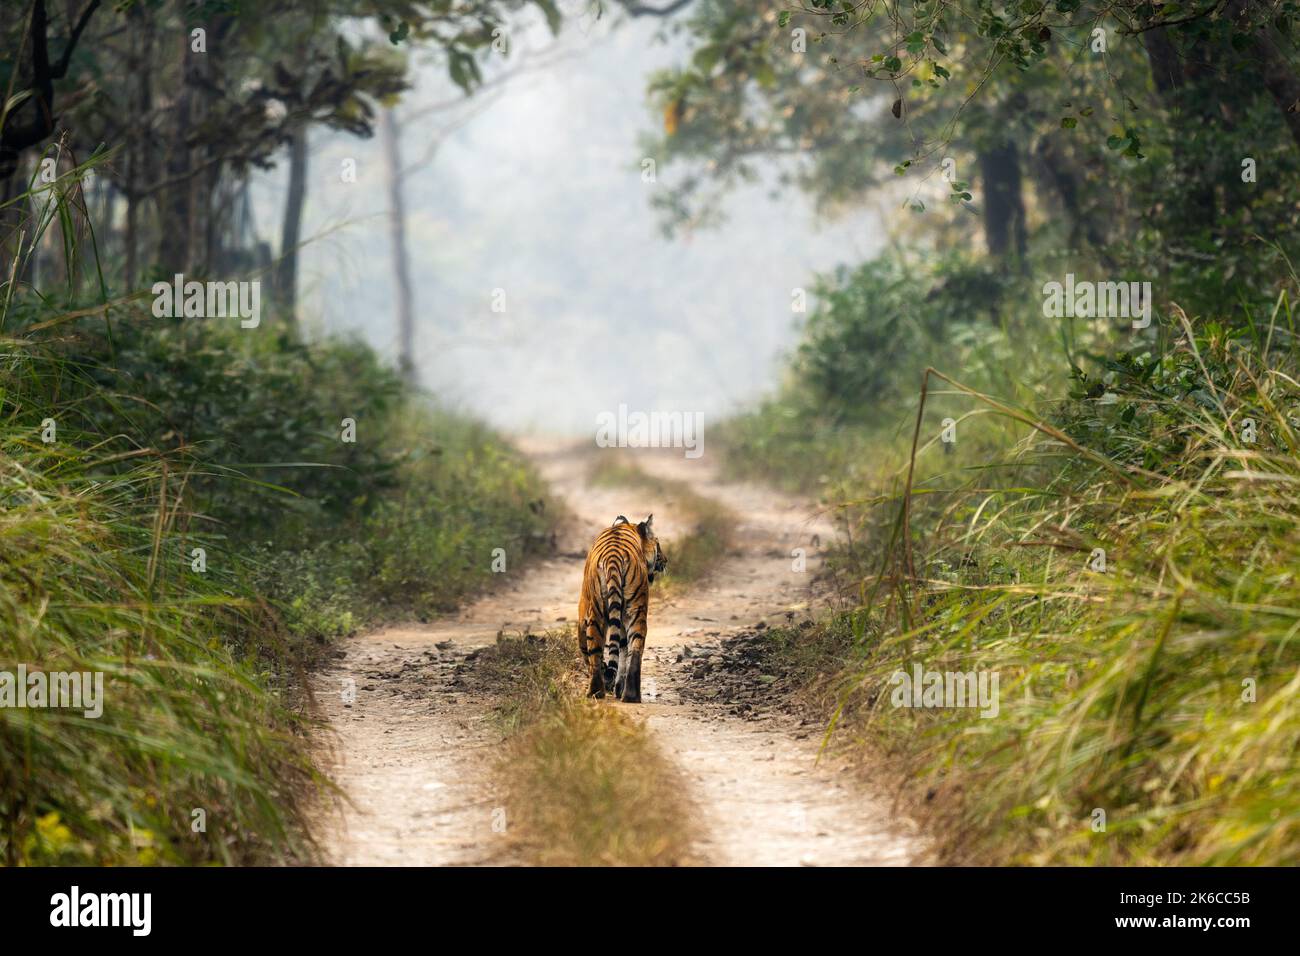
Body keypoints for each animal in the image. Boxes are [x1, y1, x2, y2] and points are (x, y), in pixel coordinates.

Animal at [577, 515, 665, 702]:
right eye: (658, 544)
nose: (665, 561)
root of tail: (613, 557)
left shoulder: (582, 613)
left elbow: (586, 649)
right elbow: (622, 649)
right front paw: (617, 687)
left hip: (596, 611)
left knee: (596, 652)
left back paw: (596, 692)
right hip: (636, 609)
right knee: (635, 647)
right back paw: (629, 695)